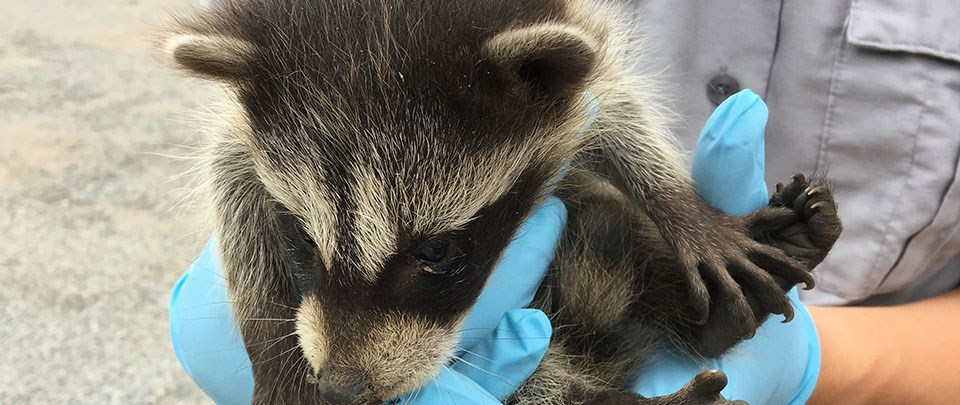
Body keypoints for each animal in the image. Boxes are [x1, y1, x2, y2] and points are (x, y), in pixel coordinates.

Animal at [163, 0, 840, 402]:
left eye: (437, 251)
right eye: (303, 237)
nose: (343, 389)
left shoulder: (580, 66)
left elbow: (620, 116)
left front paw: (682, 208)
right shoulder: (238, 135)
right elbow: (234, 198)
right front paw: (271, 352)